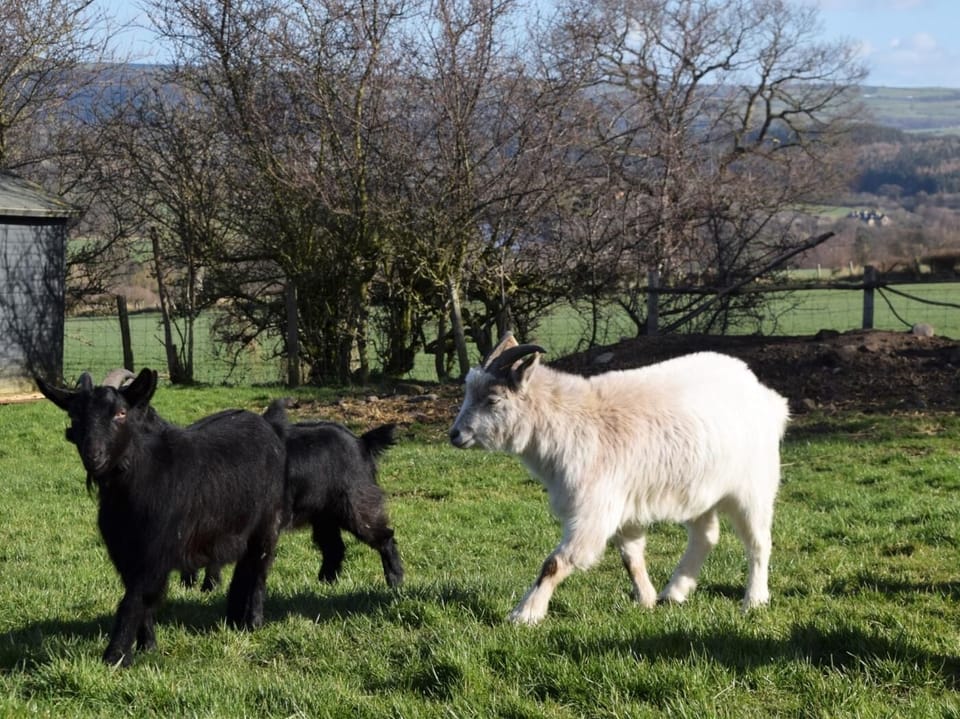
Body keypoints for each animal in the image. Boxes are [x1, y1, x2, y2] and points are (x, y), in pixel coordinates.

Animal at [36, 369, 287, 666]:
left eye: (121, 413)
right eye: (74, 416)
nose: (93, 455)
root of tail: (265, 422)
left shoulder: (156, 551)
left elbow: (133, 600)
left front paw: (115, 657)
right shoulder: (124, 554)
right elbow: (141, 601)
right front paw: (147, 647)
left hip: (268, 521)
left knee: (259, 568)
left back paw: (253, 622)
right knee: (244, 567)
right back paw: (234, 618)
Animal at [188, 401, 404, 590]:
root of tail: (361, 442)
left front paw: (208, 588)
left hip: (354, 506)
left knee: (384, 537)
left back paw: (395, 580)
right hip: (323, 516)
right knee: (334, 548)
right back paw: (325, 583)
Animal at [448, 333, 789, 625]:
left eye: (493, 400)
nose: (455, 435)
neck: (568, 421)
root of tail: (768, 399)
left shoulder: (594, 510)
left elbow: (555, 563)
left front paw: (525, 614)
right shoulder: (624, 507)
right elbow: (631, 557)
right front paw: (646, 599)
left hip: (753, 487)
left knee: (759, 542)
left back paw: (754, 600)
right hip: (697, 489)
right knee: (705, 536)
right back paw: (673, 592)